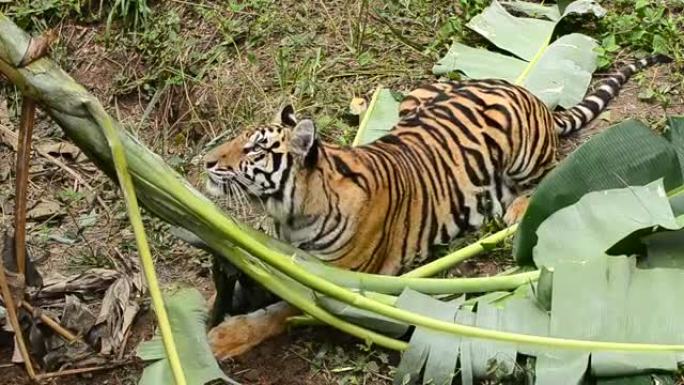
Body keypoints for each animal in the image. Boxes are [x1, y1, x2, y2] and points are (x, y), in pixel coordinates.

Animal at [203, 53, 672, 356]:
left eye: (254, 149)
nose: (205, 161)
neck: (291, 214)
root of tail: (529, 94)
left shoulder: (340, 281)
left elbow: (280, 310)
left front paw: (222, 339)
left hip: (523, 154)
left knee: (548, 176)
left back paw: (518, 209)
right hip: (417, 97)